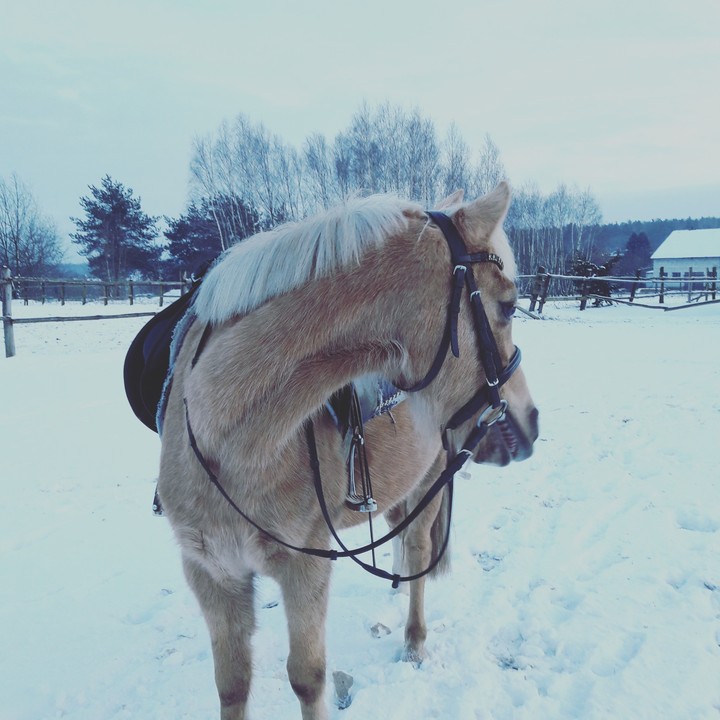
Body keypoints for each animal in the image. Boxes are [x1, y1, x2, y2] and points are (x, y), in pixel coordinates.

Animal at [156, 182, 539, 720]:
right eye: (507, 307)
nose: (530, 421)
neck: (233, 443)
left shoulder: (307, 567)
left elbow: (307, 679)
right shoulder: (213, 574)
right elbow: (232, 684)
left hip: (430, 481)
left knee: (418, 549)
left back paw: (414, 640)